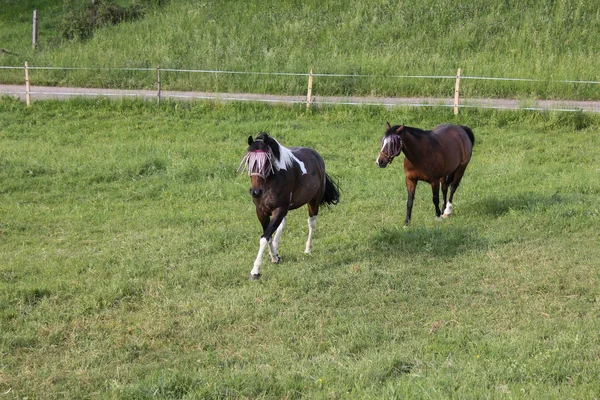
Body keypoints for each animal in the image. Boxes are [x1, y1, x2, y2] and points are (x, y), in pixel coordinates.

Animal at [240, 133, 342, 280]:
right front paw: (274, 257)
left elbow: (264, 238)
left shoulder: (279, 209)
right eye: (249, 161)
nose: (255, 192)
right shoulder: (261, 212)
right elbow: (268, 235)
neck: (271, 182)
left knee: (311, 223)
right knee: (282, 225)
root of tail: (316, 155)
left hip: (313, 202)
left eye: (266, 161)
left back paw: (308, 249)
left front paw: (255, 271)